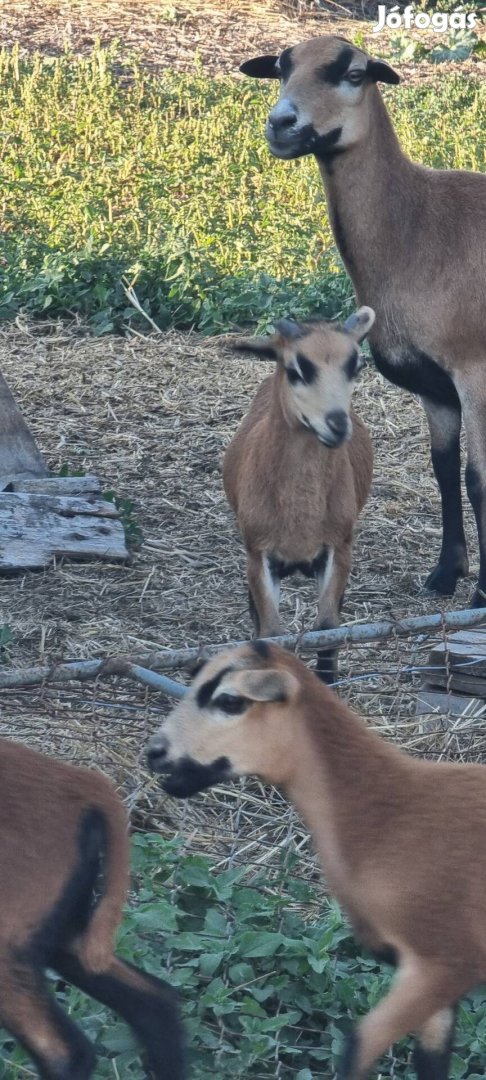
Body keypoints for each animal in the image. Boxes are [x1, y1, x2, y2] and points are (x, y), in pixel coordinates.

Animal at [149, 639, 486, 1080]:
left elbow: (356, 1049)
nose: (154, 753)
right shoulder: (432, 976)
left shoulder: (443, 962)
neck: (384, 812)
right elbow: (429, 1061)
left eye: (230, 701)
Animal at [222, 308, 373, 678]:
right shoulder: (259, 556)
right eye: (295, 369)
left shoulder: (338, 550)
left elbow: (327, 629)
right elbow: (271, 634)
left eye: (356, 366)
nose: (337, 424)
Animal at [240, 33, 486, 609]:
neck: (418, 226)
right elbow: (444, 470)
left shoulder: (474, 371)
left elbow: (476, 479)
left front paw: (483, 593)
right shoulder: (435, 387)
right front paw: (445, 574)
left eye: (353, 74)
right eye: (280, 69)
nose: (281, 123)